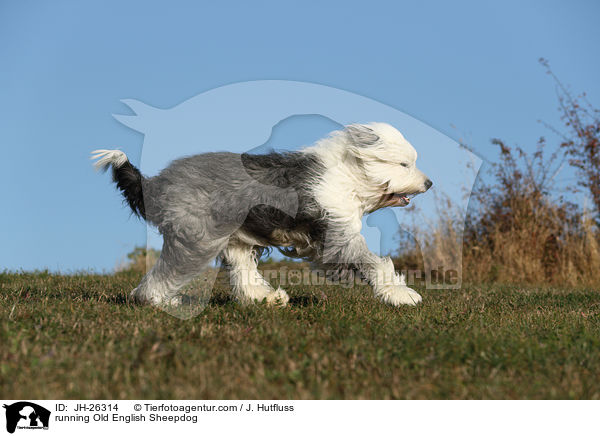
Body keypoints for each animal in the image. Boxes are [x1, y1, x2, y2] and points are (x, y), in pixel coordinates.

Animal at [92, 122, 432, 306]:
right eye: (404, 164)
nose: (428, 183)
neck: (347, 175)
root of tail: (157, 182)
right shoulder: (338, 235)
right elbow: (373, 263)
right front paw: (403, 295)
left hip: (234, 238)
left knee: (244, 275)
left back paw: (268, 299)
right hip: (197, 239)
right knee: (163, 276)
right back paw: (156, 300)